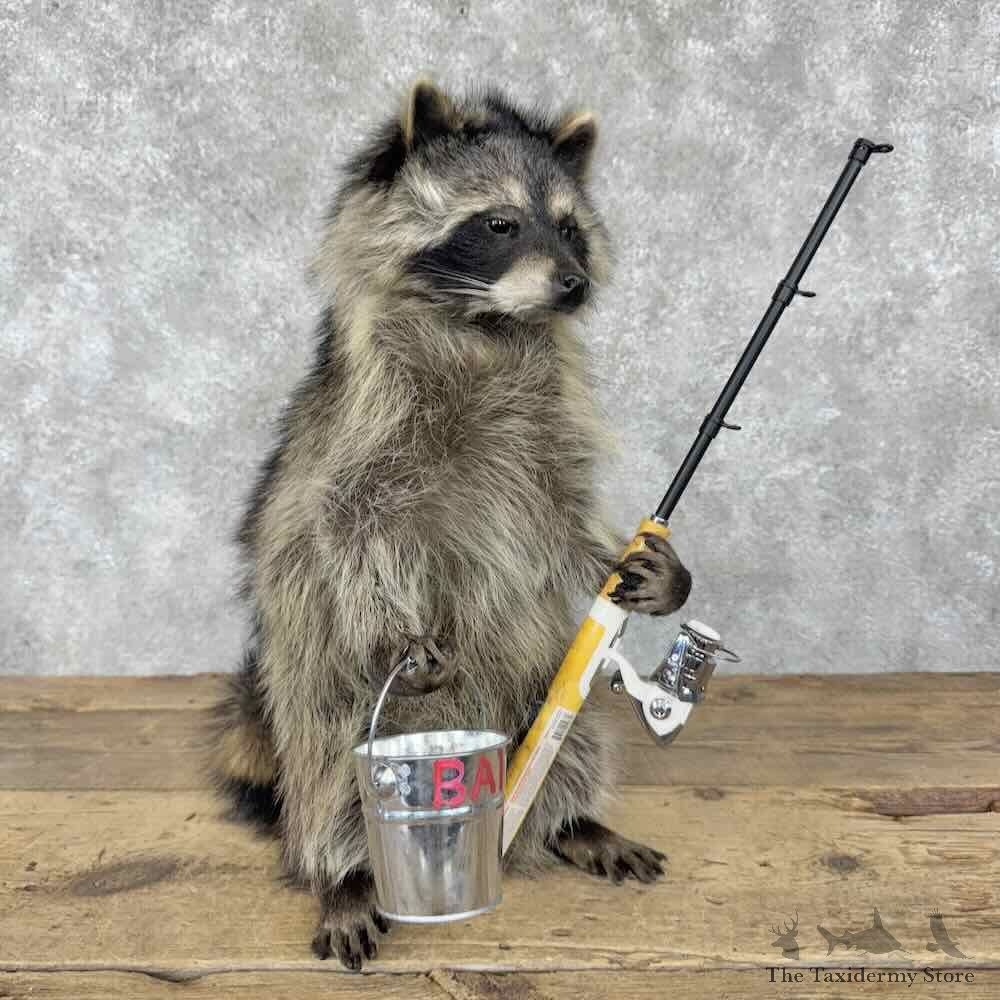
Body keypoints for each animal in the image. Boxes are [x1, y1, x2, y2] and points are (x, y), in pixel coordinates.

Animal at [209, 79, 692, 971]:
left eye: (569, 227)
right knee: (327, 766)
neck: (484, 327)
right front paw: (395, 632)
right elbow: (345, 522)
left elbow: (566, 525)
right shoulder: (363, 426)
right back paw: (343, 873)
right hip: (314, 688)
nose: (573, 283)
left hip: (533, 678)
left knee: (574, 737)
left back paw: (572, 819)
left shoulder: (549, 440)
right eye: (499, 223)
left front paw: (646, 568)